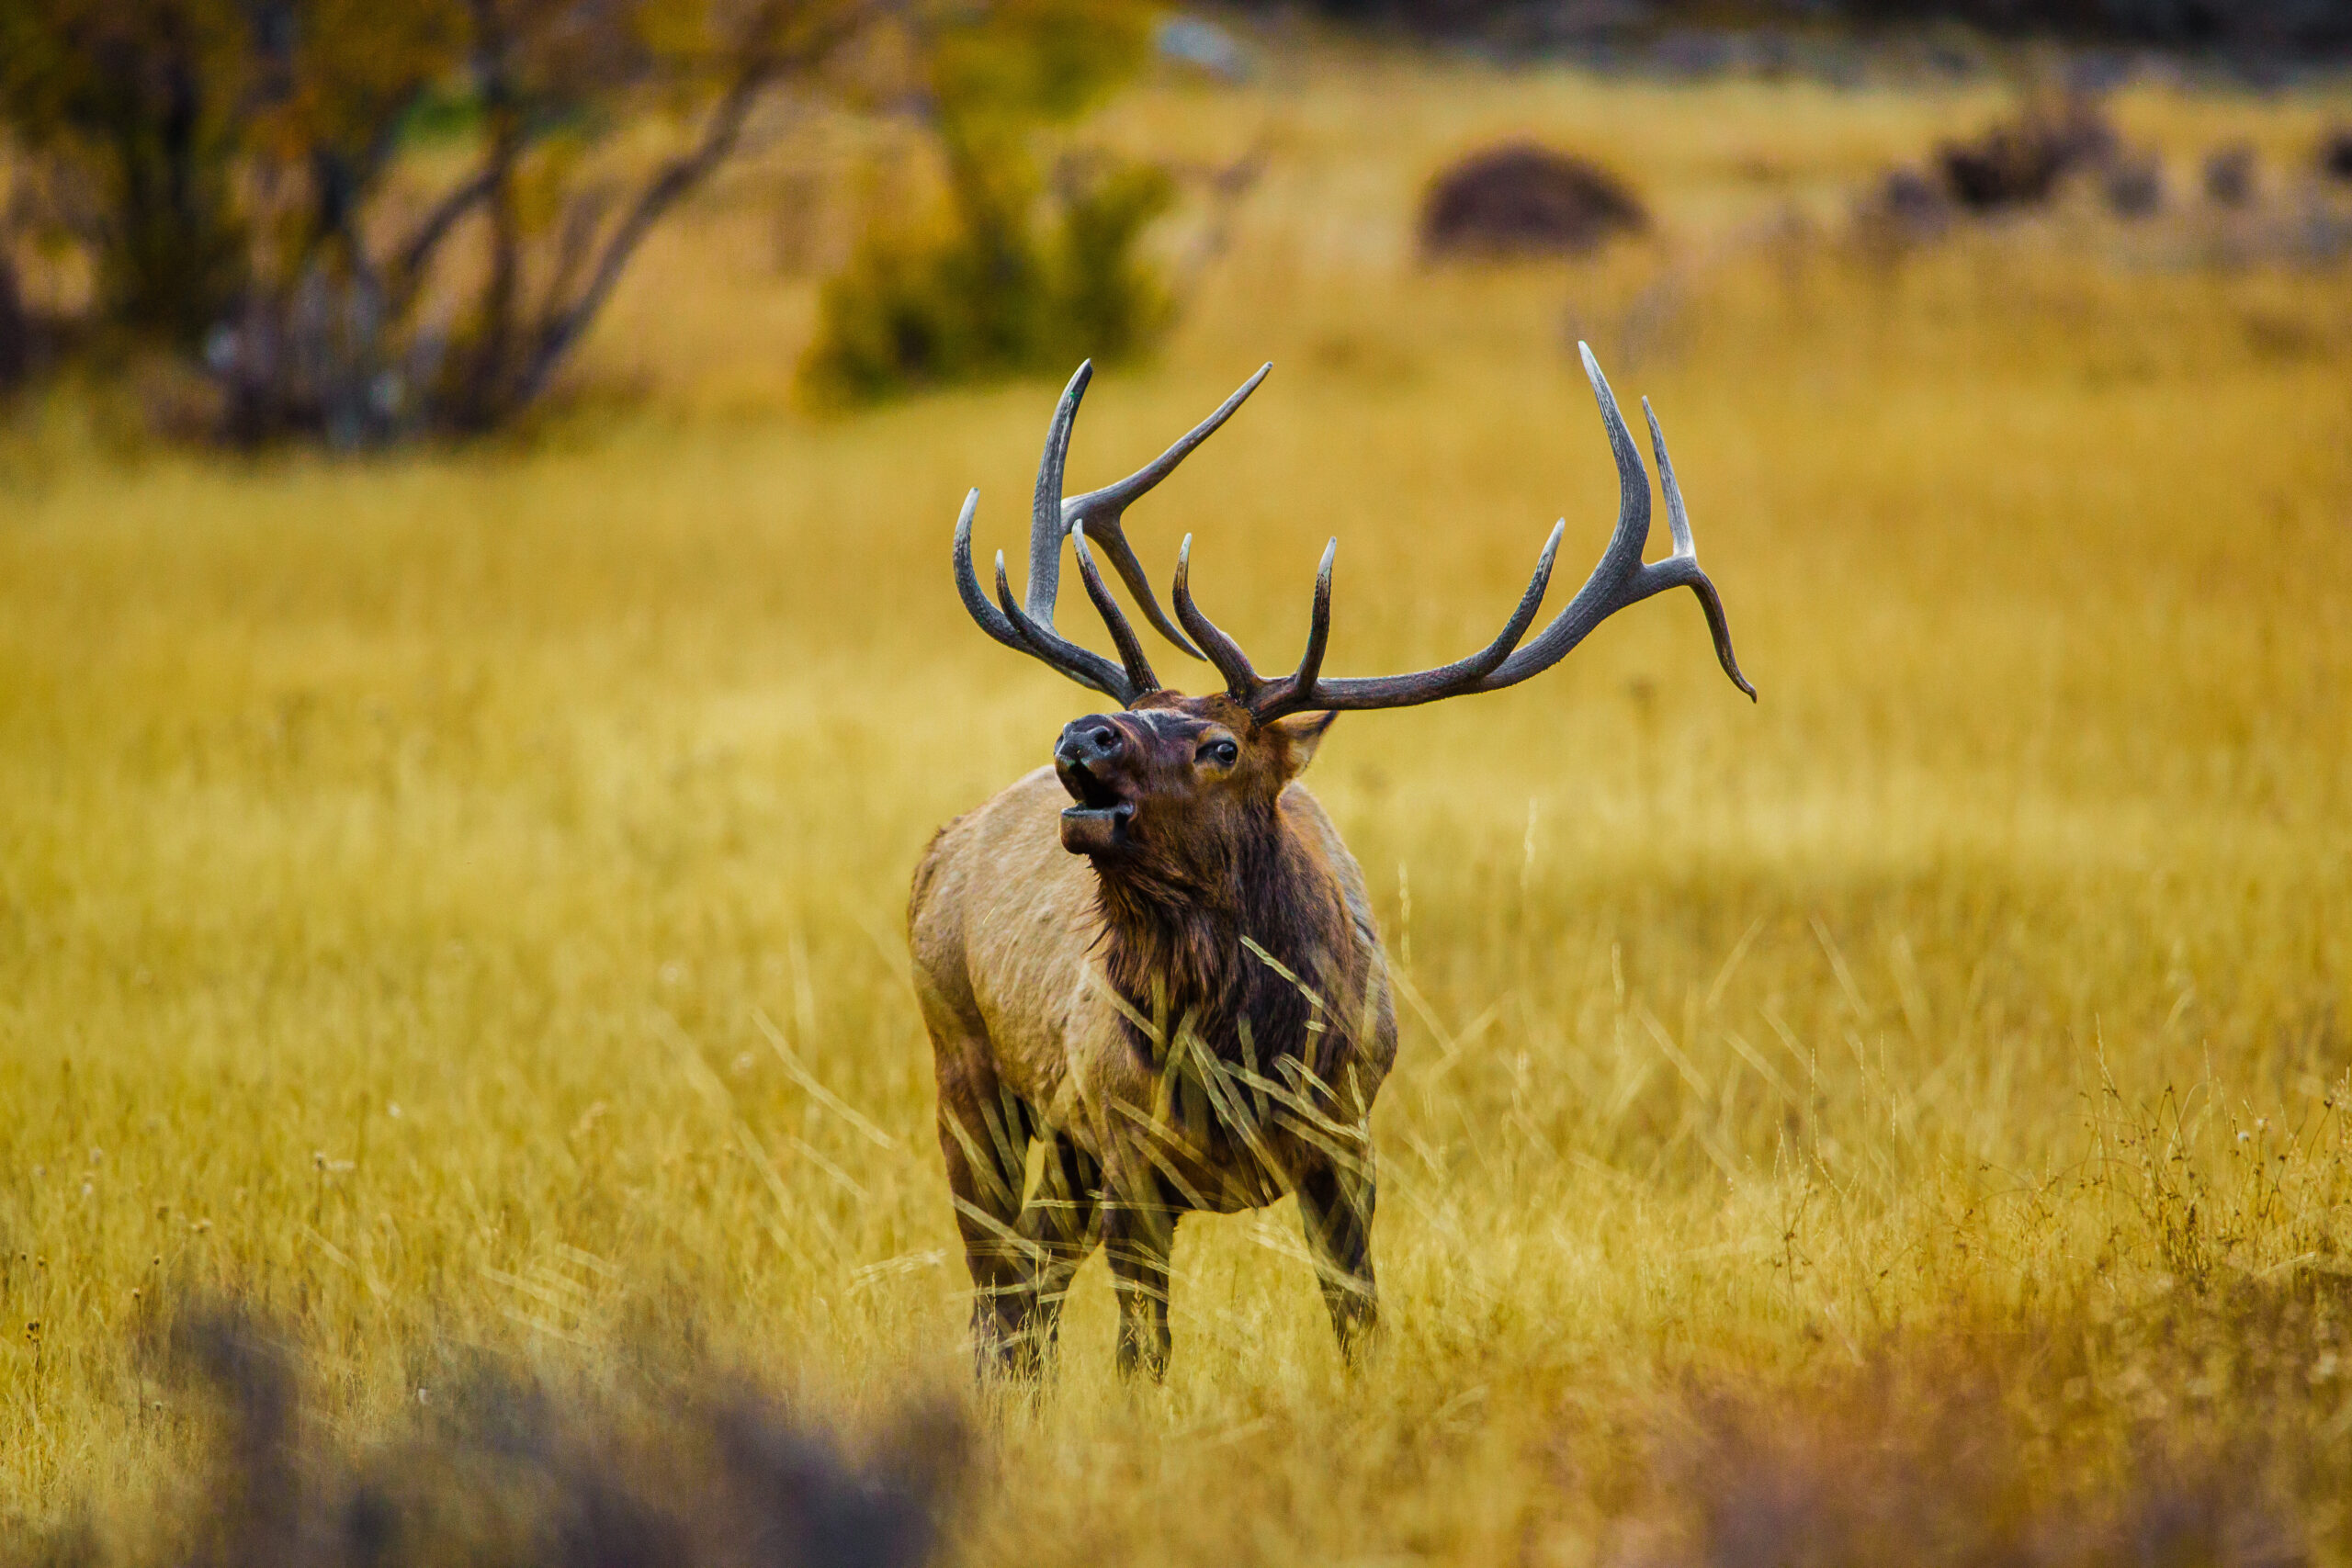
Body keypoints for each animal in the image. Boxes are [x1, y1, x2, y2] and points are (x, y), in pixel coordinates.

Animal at [908, 346, 1753, 1382]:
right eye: (1138, 715)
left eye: (1222, 747)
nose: (1084, 734)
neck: (1239, 1053)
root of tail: (946, 842)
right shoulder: (1126, 1149)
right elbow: (1144, 1353)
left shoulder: (1346, 1141)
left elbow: (1359, 1324)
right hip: (966, 1063)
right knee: (1001, 1299)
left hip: (1056, 1139)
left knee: (1025, 1294)